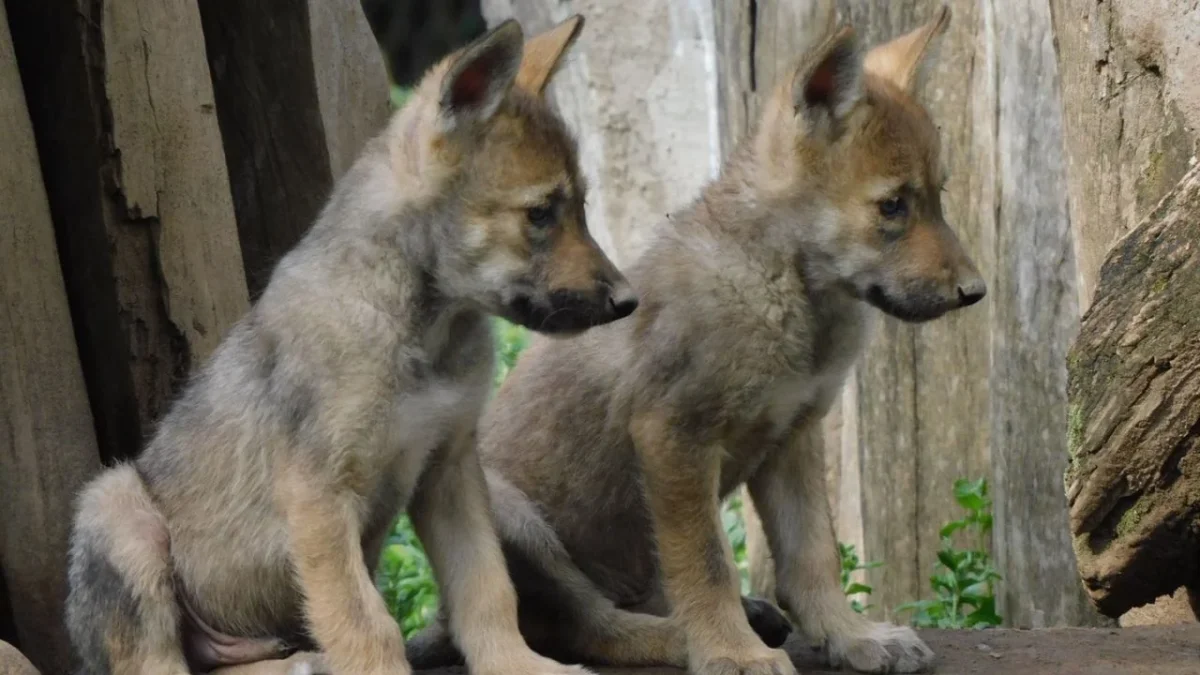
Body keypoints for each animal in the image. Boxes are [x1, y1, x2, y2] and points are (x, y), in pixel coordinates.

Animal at [64, 15, 632, 675]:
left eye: (582, 207)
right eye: (540, 213)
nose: (629, 302)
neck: (421, 329)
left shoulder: (450, 470)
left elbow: (486, 588)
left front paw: (517, 664)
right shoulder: (318, 494)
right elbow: (366, 623)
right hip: (116, 506)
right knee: (154, 659)